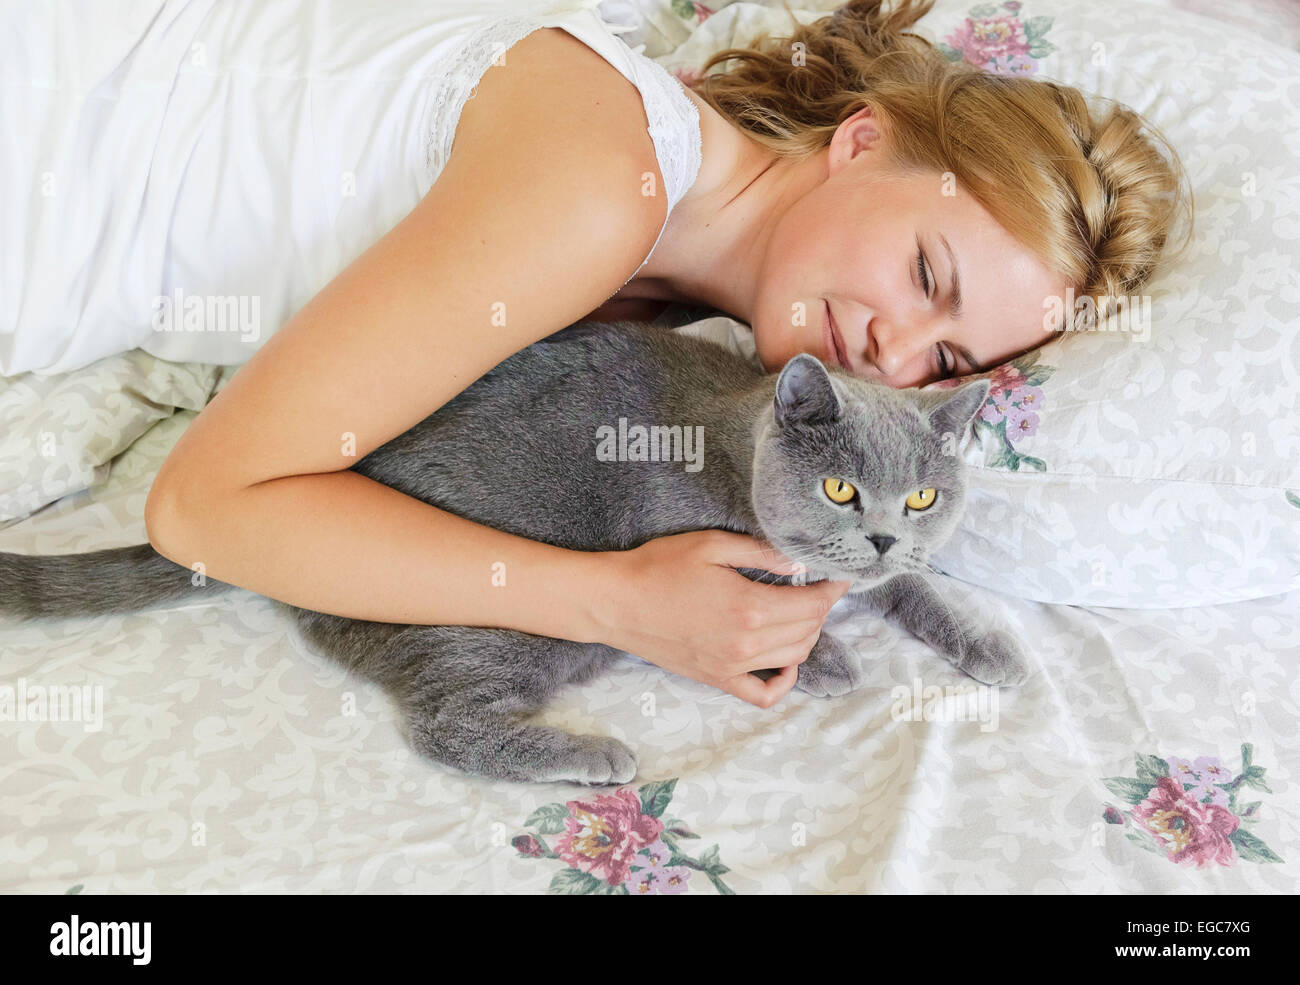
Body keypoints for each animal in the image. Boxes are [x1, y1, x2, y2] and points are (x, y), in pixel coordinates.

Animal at [5, 322, 1029, 784]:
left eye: (925, 495)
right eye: (841, 489)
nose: (885, 530)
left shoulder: (884, 577)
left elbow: (915, 594)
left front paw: (992, 648)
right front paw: (826, 659)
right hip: (499, 624)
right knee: (440, 724)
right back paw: (595, 752)